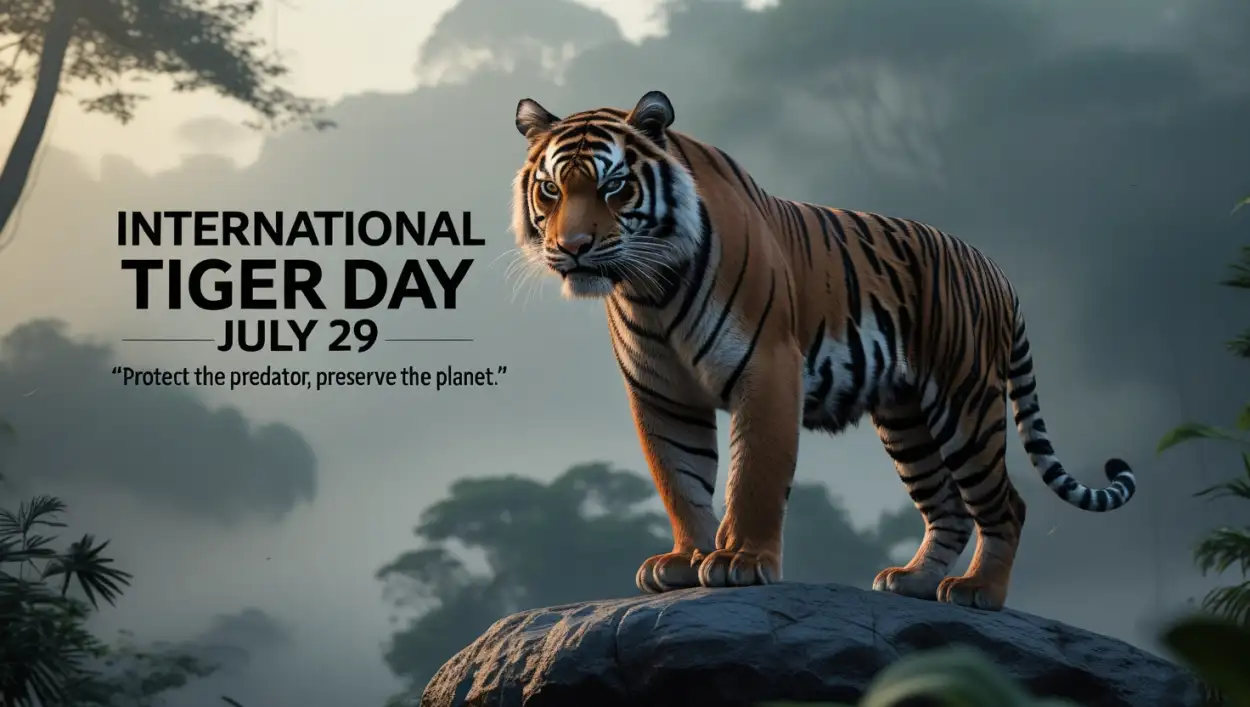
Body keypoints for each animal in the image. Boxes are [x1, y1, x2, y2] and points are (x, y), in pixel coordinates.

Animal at [509, 90, 1138, 611]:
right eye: (552, 189)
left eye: (614, 186)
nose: (573, 247)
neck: (649, 288)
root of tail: (996, 269)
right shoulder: (661, 394)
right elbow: (680, 479)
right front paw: (685, 562)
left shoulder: (766, 368)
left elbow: (755, 475)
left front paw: (739, 561)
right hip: (906, 419)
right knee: (950, 509)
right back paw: (911, 580)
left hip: (965, 404)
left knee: (1005, 503)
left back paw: (977, 590)